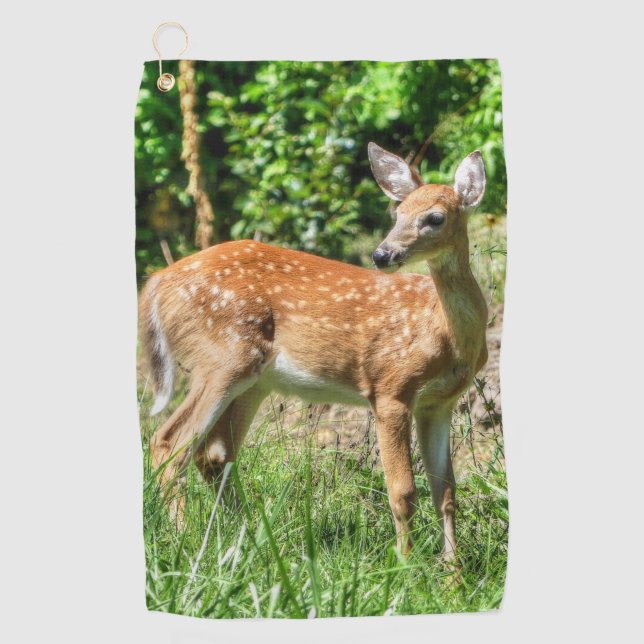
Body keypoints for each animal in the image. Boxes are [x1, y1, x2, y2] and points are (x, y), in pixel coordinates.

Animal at [139, 143, 488, 561]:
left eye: (434, 218)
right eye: (398, 212)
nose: (381, 254)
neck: (444, 334)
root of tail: (156, 283)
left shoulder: (439, 402)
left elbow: (446, 493)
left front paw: (452, 571)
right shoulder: (390, 387)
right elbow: (403, 492)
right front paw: (407, 566)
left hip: (253, 380)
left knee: (213, 453)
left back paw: (246, 539)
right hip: (222, 357)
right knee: (169, 442)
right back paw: (185, 544)